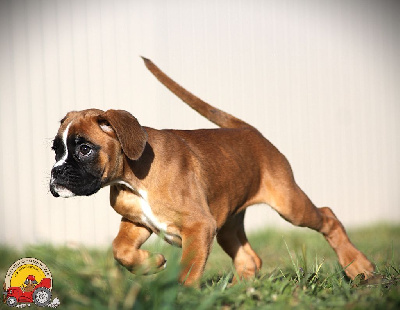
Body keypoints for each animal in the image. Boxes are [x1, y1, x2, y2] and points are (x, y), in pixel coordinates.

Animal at [50, 57, 376, 286]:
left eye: (84, 149)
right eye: (55, 149)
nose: (56, 174)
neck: (133, 178)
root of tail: (246, 130)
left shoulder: (199, 226)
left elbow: (186, 270)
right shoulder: (137, 221)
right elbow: (120, 249)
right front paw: (152, 263)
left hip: (290, 205)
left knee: (328, 217)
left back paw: (359, 267)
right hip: (229, 225)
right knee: (250, 258)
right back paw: (239, 292)